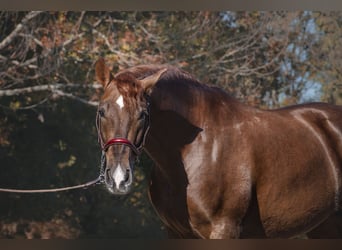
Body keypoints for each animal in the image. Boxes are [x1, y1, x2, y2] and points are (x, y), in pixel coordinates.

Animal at [94, 58, 342, 238]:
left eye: (143, 115)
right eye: (101, 111)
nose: (118, 178)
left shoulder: (224, 229)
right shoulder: (177, 233)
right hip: (325, 227)